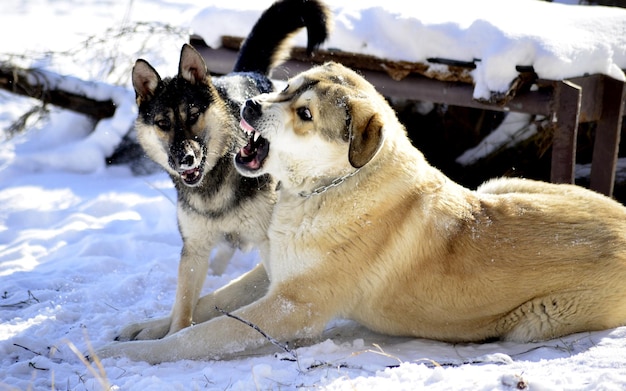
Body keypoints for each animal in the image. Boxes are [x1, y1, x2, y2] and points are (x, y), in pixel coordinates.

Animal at [96, 62, 624, 364]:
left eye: (305, 114)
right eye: (286, 87)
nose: (249, 105)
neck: (326, 190)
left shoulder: (292, 306)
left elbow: (201, 335)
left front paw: (133, 352)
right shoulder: (276, 269)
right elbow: (209, 301)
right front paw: (145, 326)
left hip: (535, 321)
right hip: (501, 184)